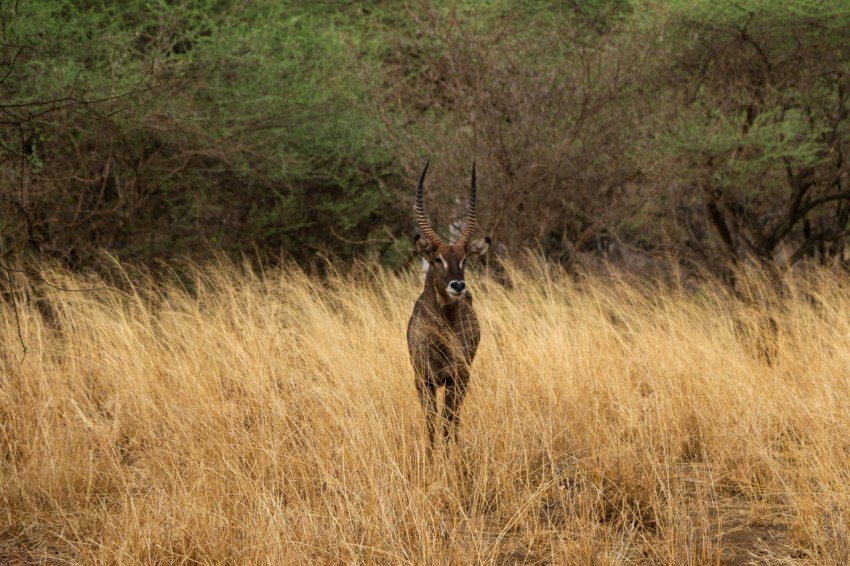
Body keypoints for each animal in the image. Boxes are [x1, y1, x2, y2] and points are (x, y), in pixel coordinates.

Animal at [406, 162, 490, 450]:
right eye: (437, 258)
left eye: (464, 259)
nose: (458, 285)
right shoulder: (423, 380)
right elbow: (431, 424)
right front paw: (431, 457)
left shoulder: (457, 378)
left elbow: (447, 422)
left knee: (453, 419)